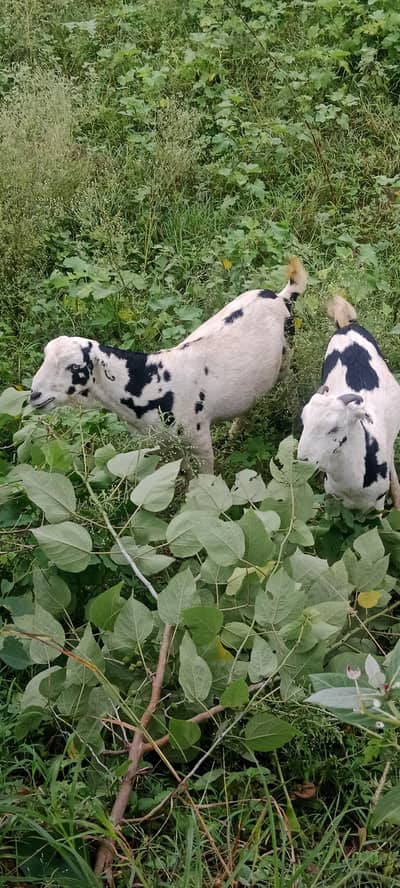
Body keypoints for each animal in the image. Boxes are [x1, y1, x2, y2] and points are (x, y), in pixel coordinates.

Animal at [30, 258, 307, 474]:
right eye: (44, 356)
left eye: (74, 366)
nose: (34, 396)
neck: (147, 382)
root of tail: (280, 297)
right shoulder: (161, 444)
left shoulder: (199, 441)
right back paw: (236, 430)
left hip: (287, 358)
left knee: (292, 385)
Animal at [297, 294, 400, 510]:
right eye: (304, 423)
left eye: (335, 428)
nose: (302, 462)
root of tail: (346, 326)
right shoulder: (332, 497)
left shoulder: (377, 505)